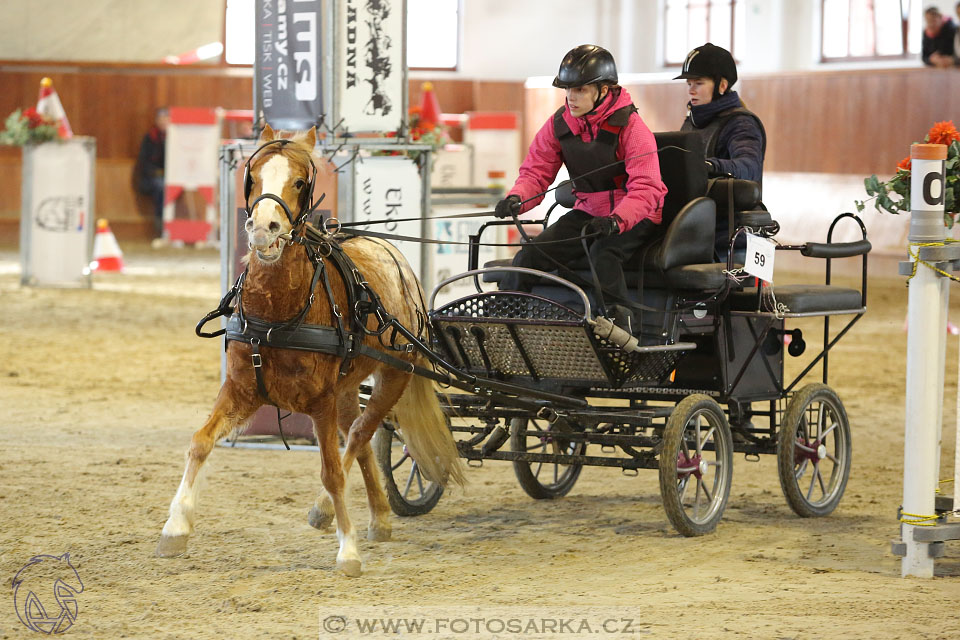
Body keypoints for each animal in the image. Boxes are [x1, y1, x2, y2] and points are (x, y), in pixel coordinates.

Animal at [158, 124, 464, 576]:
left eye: (301, 182)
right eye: (253, 177)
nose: (264, 228)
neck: (279, 314)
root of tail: (396, 258)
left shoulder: (319, 402)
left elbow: (332, 472)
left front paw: (348, 551)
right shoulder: (242, 390)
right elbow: (200, 442)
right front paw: (175, 527)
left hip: (394, 375)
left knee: (360, 435)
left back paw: (329, 512)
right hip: (347, 389)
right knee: (361, 437)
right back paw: (379, 517)